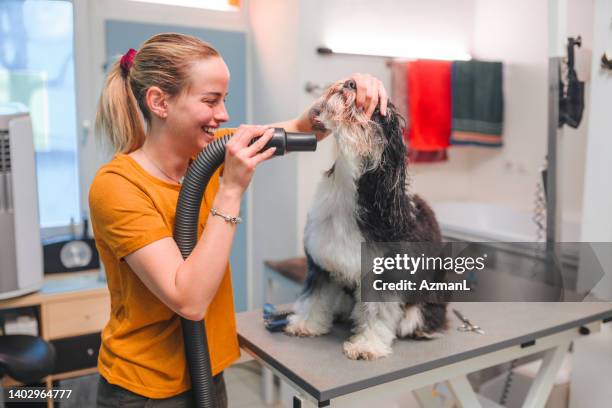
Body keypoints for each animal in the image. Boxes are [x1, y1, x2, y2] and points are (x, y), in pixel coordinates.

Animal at [284, 79, 448, 360]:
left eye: (378, 112)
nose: (351, 82)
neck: (349, 189)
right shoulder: (322, 262)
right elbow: (315, 297)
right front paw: (306, 324)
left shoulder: (384, 274)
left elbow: (378, 313)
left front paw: (366, 345)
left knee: (422, 316)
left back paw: (423, 329)